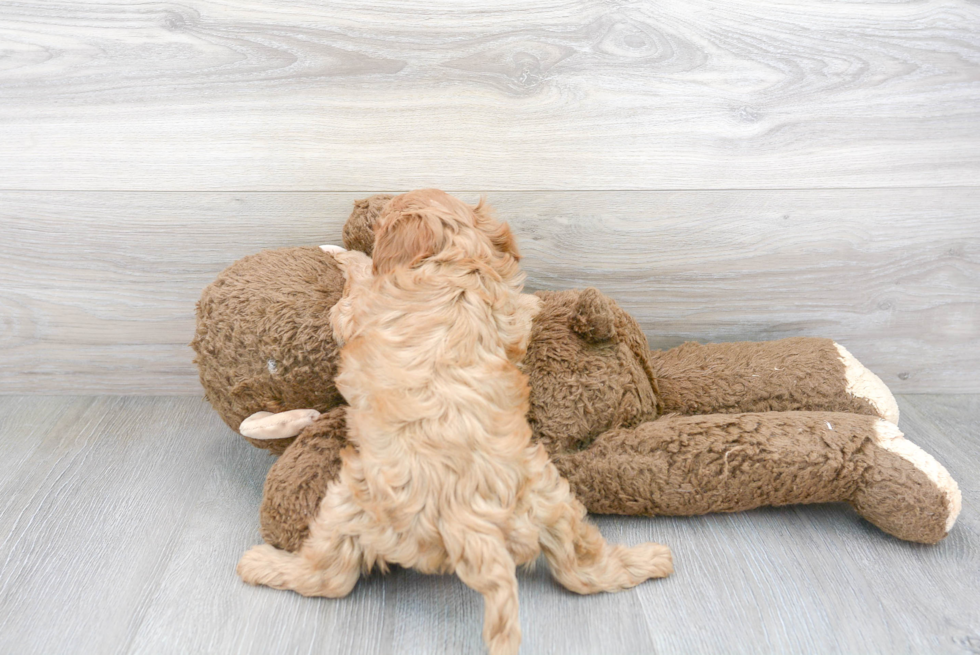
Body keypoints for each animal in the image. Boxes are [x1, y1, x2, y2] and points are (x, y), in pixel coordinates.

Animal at [235, 190, 672, 655]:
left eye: (385, 216)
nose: (361, 206)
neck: (456, 259)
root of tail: (473, 527)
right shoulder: (509, 308)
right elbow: (525, 310)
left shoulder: (357, 312)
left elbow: (357, 281)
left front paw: (340, 253)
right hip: (552, 501)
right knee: (582, 571)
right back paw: (652, 559)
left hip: (349, 506)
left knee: (329, 578)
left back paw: (262, 564)